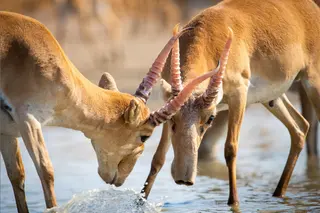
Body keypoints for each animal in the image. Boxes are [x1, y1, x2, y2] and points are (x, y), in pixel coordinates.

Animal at [0, 12, 224, 213]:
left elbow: (17, 175)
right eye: (144, 136)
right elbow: (46, 172)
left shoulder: (8, 133)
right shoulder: (28, 120)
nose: (119, 179)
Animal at [142, 0, 320, 206]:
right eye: (172, 119)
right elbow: (158, 157)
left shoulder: (239, 95)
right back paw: (278, 194)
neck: (208, 39)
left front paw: (233, 203)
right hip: (272, 98)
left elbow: (230, 149)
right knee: (300, 128)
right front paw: (141, 200)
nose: (184, 178)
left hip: (312, 83)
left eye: (211, 118)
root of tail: (312, 8)